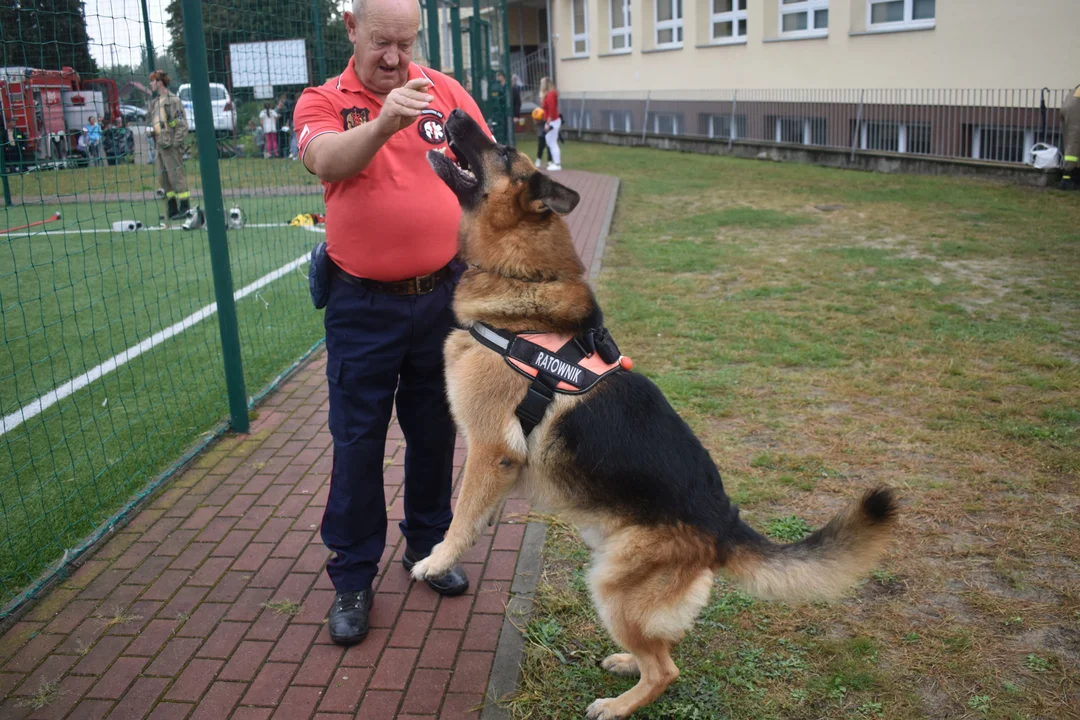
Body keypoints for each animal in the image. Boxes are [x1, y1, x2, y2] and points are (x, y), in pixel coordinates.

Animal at [416, 108, 898, 720]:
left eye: (500, 149)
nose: (453, 112)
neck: (524, 290)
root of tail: (723, 522)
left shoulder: (489, 450)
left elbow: (459, 516)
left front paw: (435, 562)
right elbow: (473, 512)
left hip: (611, 584)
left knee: (666, 669)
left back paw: (618, 704)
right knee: (664, 646)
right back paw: (627, 664)